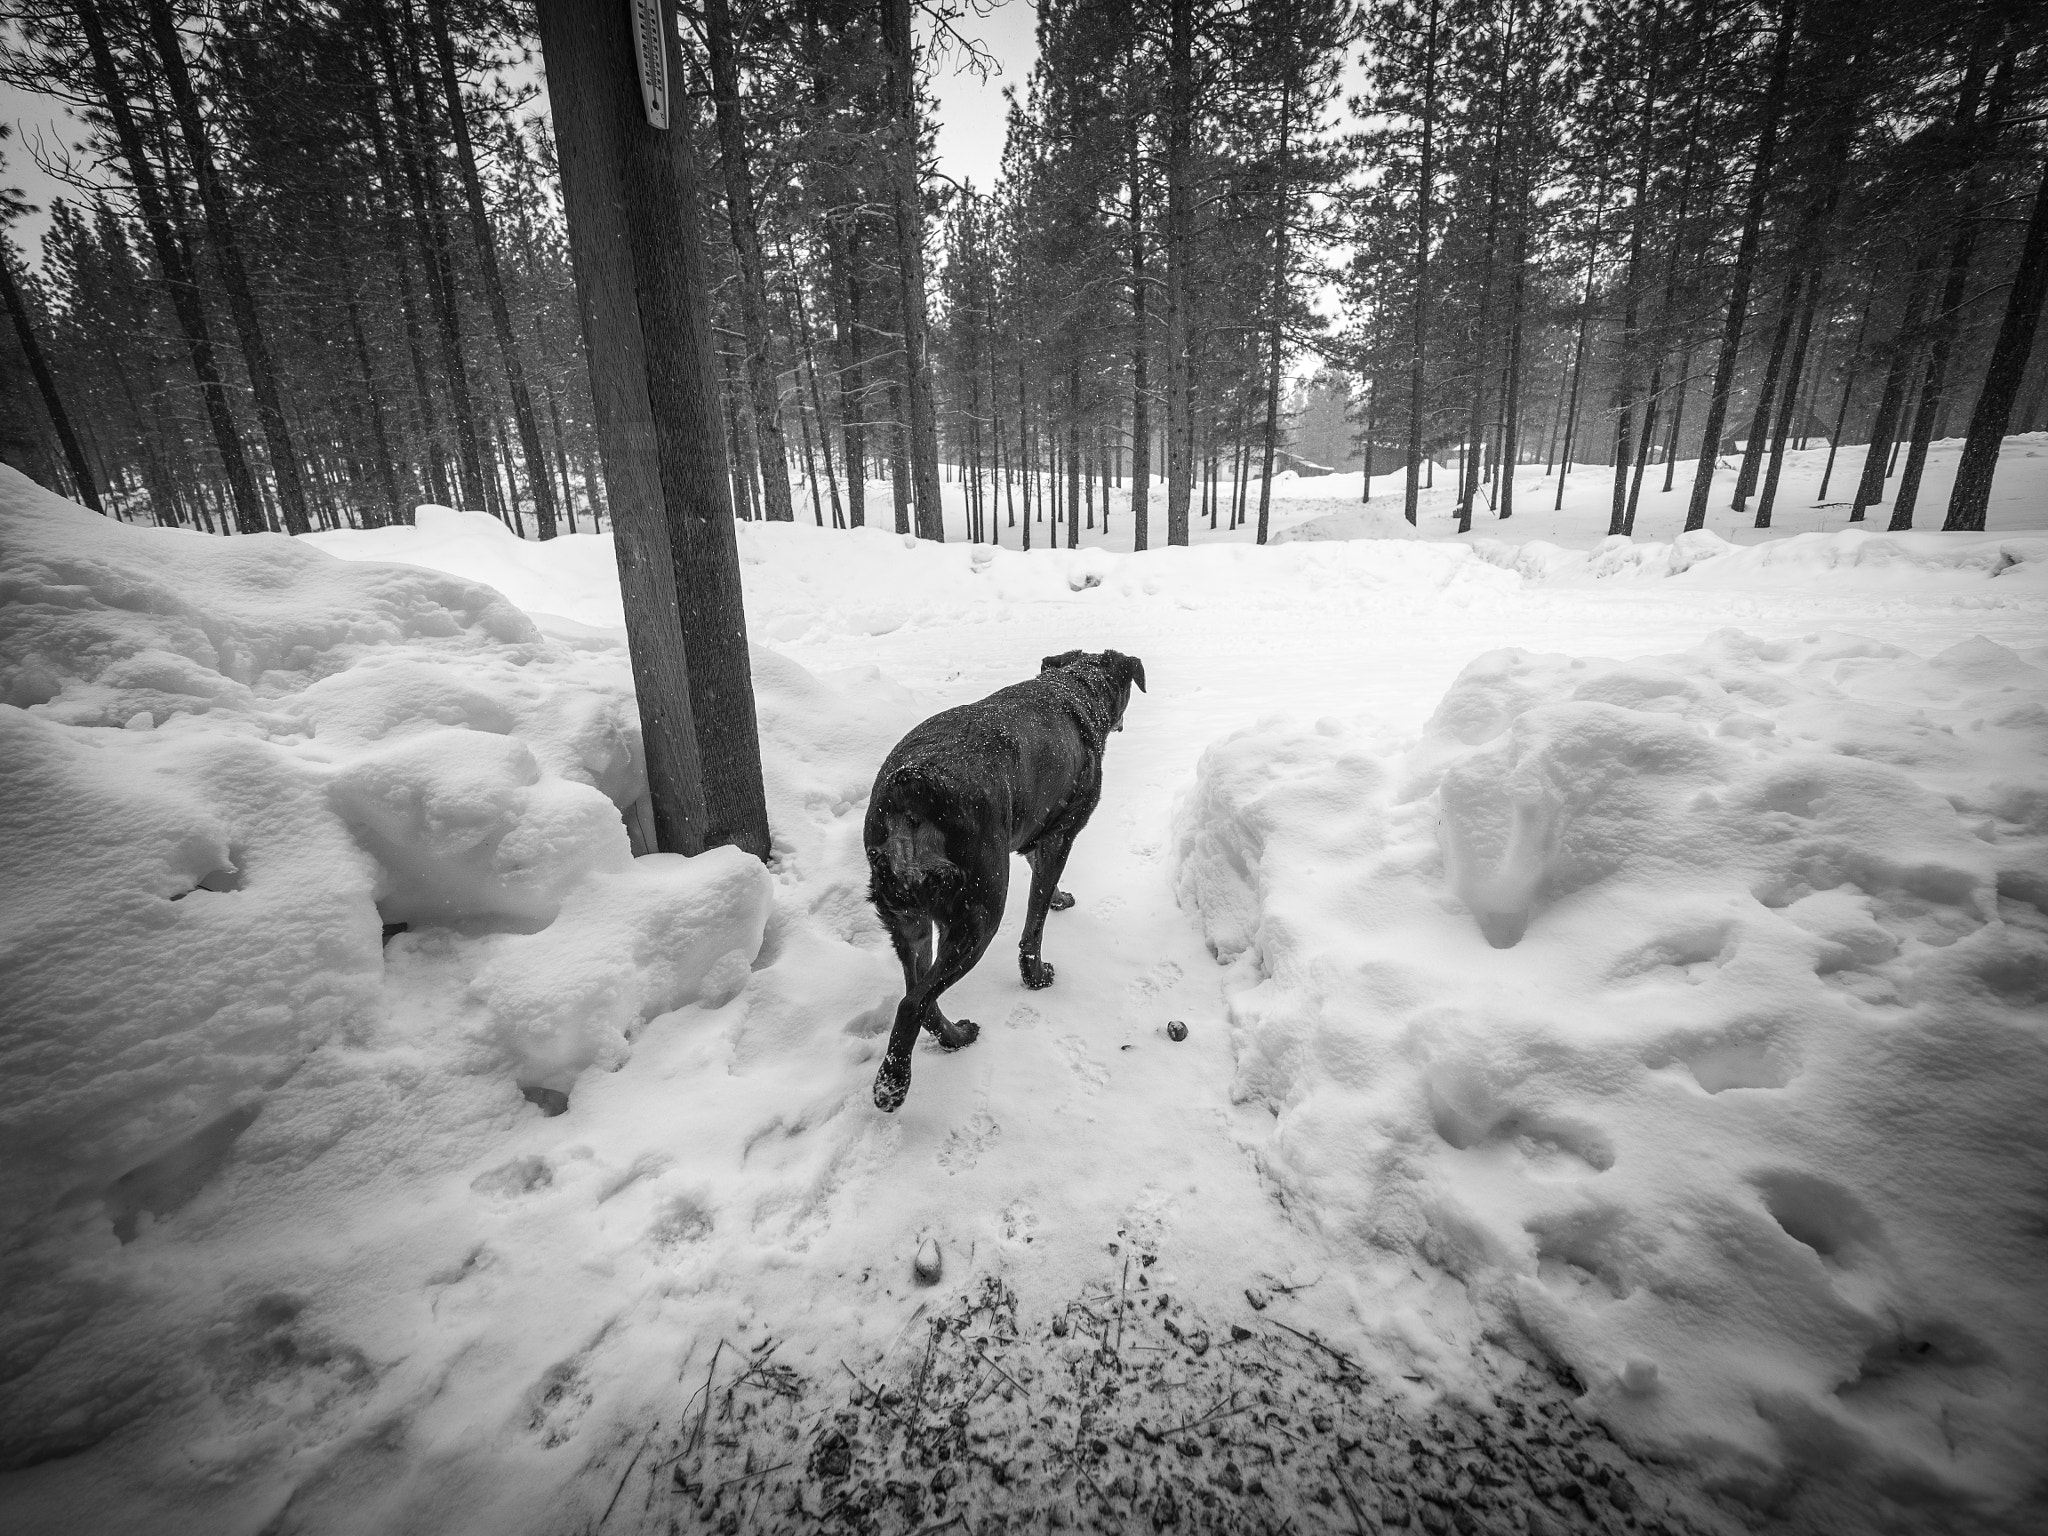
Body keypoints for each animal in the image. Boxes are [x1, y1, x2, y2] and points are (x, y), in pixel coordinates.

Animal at [860, 655, 1146, 1114]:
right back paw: (893, 1085)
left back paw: (954, 1039)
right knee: (912, 1002)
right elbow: (1035, 921)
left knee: (921, 995)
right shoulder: (1061, 834)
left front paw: (1061, 898)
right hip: (980, 911)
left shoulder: (1035, 830)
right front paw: (1036, 976)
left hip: (907, 918)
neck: (1074, 686)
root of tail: (914, 787)